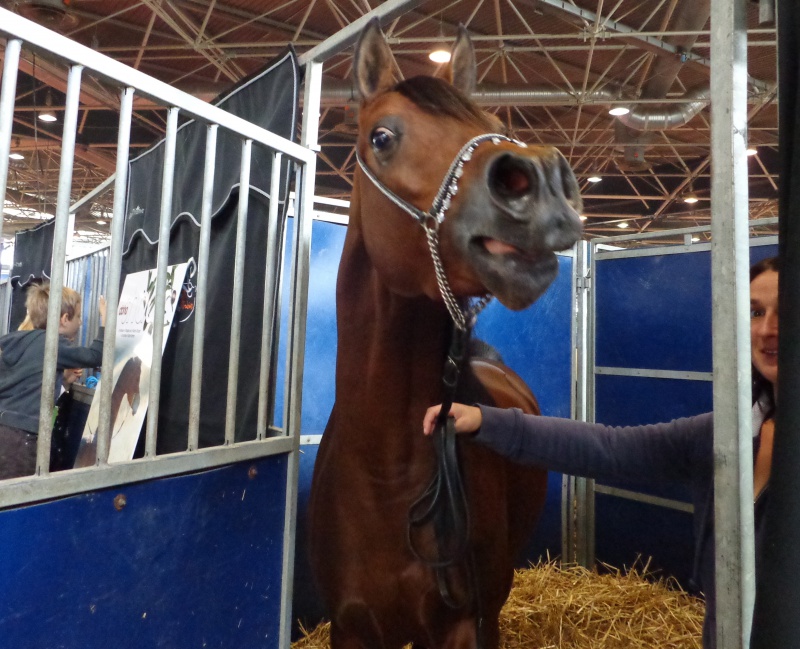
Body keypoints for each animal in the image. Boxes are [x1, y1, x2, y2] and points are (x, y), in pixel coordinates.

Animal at [308, 20, 580, 648]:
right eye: (382, 136)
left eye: (491, 123)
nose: (540, 181)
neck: (385, 475)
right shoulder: (351, 628)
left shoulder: (468, 623)